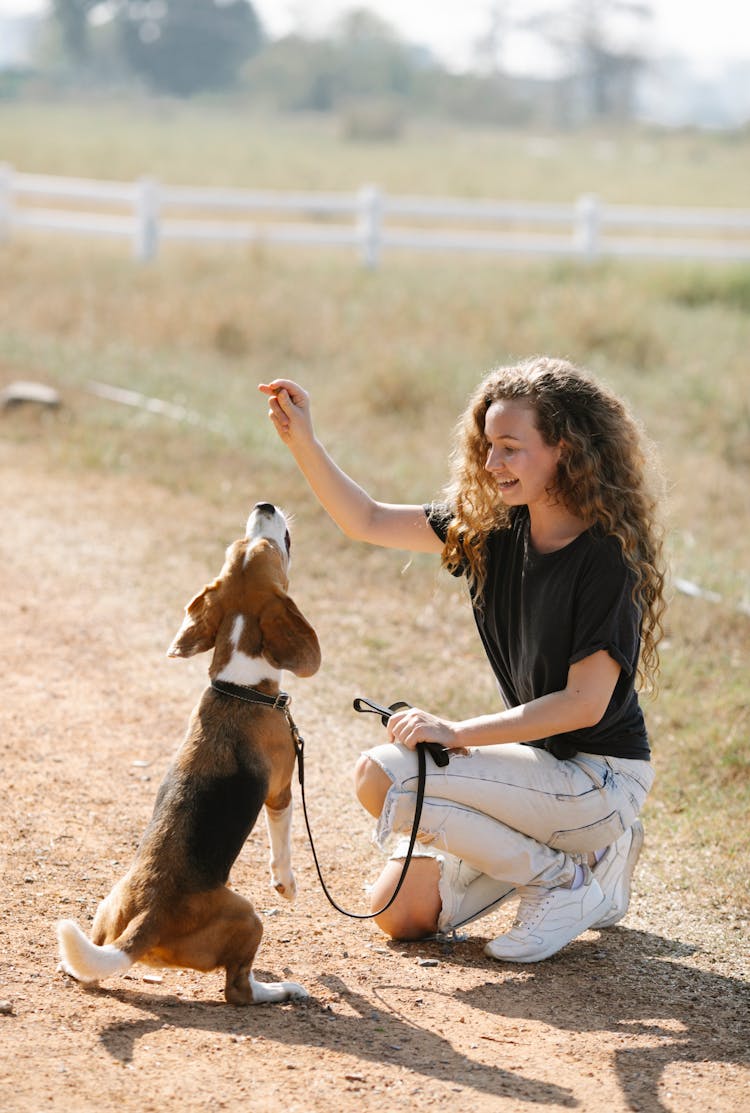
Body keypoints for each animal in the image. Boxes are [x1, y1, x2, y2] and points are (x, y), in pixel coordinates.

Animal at [55, 500, 318, 1006]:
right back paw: (281, 989)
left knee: (88, 967)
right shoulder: (279, 791)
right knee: (238, 990)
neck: (238, 686)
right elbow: (282, 841)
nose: (264, 505)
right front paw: (287, 884)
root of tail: (145, 920)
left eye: (241, 546)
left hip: (107, 909)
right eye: (265, 546)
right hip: (247, 916)